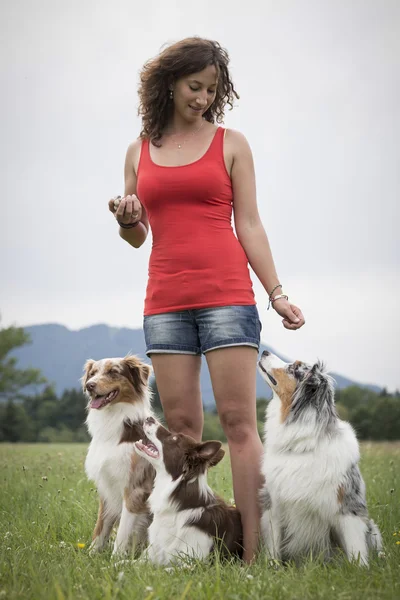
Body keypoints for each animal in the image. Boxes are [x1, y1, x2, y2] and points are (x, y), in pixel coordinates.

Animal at [82, 354, 155, 556]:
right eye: (92, 373)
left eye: (113, 372)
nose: (89, 385)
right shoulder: (106, 487)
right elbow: (101, 527)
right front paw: (91, 555)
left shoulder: (133, 489)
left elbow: (123, 532)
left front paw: (116, 559)